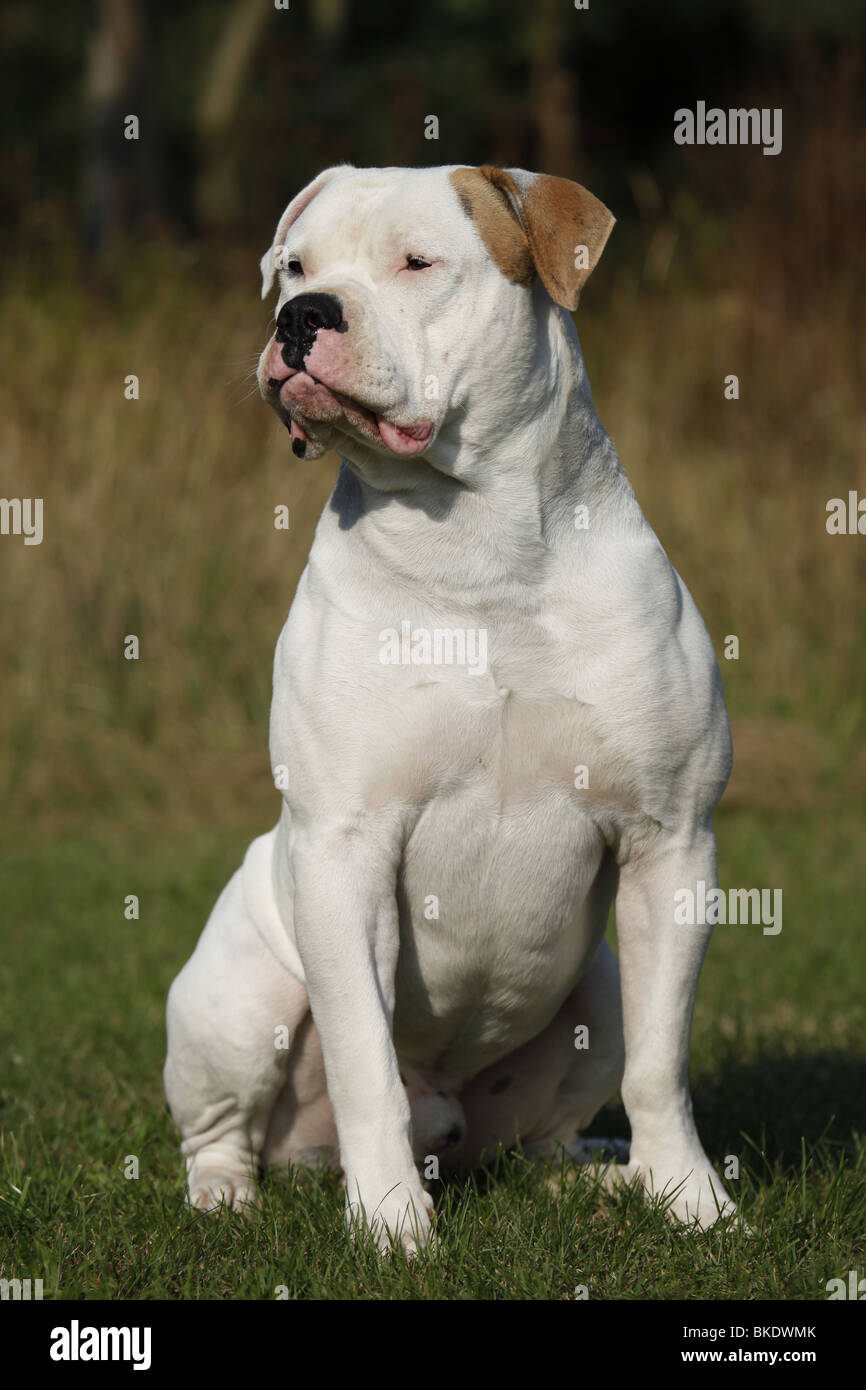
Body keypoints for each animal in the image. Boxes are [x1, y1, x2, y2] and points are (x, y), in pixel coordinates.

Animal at [164, 159, 739, 1251]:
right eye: (293, 266)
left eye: (416, 262)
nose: (302, 315)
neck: (477, 552)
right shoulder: (345, 848)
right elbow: (363, 1066)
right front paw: (390, 1225)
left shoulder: (670, 840)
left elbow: (662, 1062)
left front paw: (692, 1198)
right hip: (238, 996)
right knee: (224, 1128)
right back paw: (227, 1195)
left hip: (596, 987)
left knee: (545, 1132)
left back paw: (594, 1180)